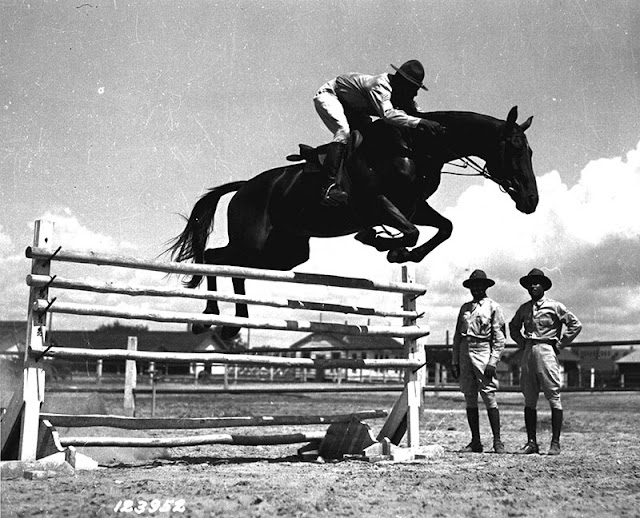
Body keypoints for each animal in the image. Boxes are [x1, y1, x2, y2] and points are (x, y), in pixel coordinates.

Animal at [169, 107, 536, 340]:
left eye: (530, 152)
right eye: (515, 148)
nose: (531, 201)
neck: (415, 148)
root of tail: (244, 186)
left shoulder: (414, 207)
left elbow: (442, 228)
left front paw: (401, 253)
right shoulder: (379, 203)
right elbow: (410, 232)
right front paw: (385, 245)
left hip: (285, 254)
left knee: (232, 265)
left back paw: (230, 322)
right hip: (253, 242)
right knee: (217, 259)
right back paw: (211, 318)